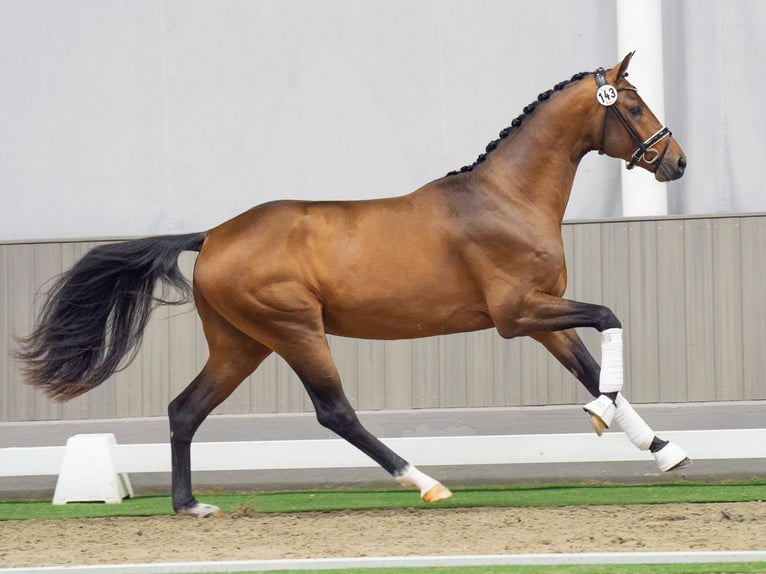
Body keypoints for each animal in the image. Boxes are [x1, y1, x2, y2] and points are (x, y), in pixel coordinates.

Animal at [18, 54, 688, 520]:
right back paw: (425, 483)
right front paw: (606, 420)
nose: (676, 161)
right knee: (334, 410)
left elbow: (591, 368)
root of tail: (212, 235)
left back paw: (190, 505)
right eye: (632, 107)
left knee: (185, 409)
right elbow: (609, 318)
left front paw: (664, 449)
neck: (507, 198)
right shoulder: (517, 314)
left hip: (241, 343)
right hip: (295, 330)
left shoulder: (540, 317)